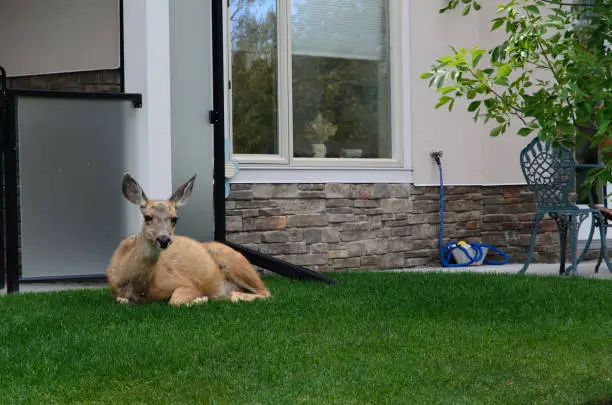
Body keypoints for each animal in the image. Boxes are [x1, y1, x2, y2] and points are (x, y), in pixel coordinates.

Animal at [106, 172, 272, 304]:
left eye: (175, 218)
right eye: (147, 217)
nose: (164, 240)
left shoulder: (186, 283)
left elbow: (175, 300)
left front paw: (201, 298)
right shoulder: (117, 294)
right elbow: (121, 300)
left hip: (235, 260)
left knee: (266, 292)